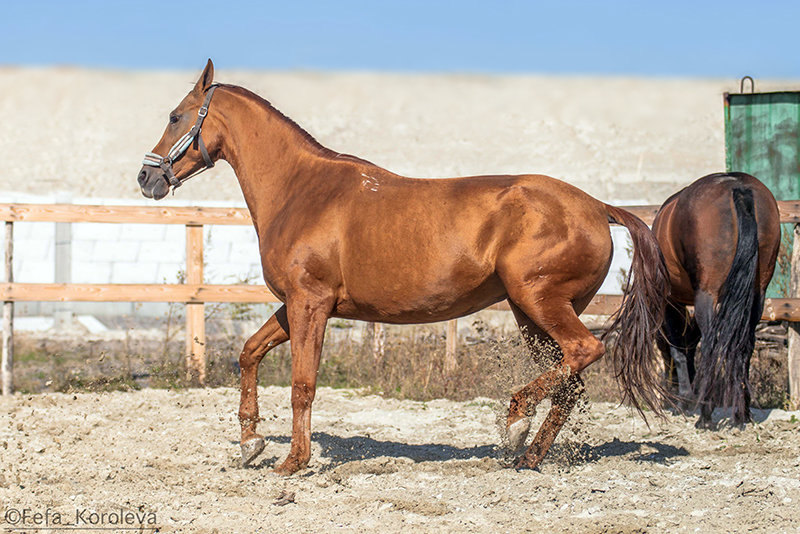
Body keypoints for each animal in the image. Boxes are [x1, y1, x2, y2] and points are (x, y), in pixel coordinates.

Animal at [139, 60, 668, 476]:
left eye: (175, 116)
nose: (146, 177)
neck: (301, 189)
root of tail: (598, 206)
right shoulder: (296, 306)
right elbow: (249, 352)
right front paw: (250, 443)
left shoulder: (311, 304)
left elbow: (302, 385)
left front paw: (292, 462)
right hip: (530, 314)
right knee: (569, 381)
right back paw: (529, 456)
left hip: (539, 301)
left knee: (583, 352)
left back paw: (516, 422)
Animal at [652, 174, 780, 430]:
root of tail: (738, 187)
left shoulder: (671, 302)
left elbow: (679, 350)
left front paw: (684, 400)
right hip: (757, 295)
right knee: (744, 346)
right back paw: (742, 414)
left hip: (707, 296)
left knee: (712, 344)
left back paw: (705, 415)